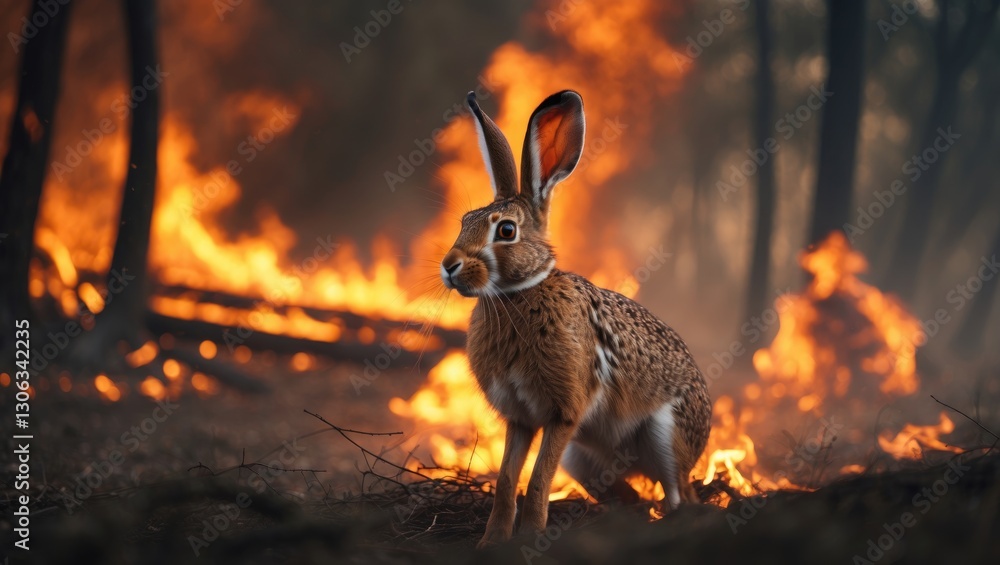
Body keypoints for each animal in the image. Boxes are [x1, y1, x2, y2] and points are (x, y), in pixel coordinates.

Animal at [440, 90, 712, 548]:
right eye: (463, 222)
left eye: (506, 231)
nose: (449, 267)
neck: (520, 292)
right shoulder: (520, 418)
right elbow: (506, 481)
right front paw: (491, 543)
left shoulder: (562, 414)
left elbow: (536, 482)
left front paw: (530, 539)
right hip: (581, 458)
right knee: (634, 498)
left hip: (666, 437)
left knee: (678, 498)